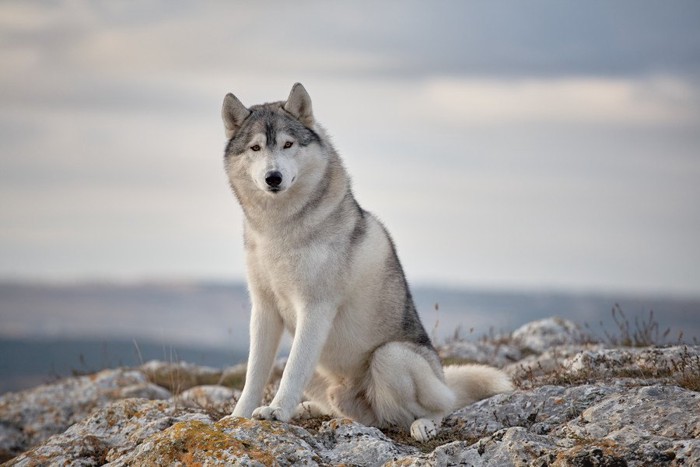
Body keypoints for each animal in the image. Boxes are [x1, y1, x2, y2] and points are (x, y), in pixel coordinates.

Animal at [224, 85, 516, 442]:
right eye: (255, 148)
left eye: (287, 144)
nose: (273, 178)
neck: (278, 230)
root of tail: (444, 379)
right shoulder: (265, 308)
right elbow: (254, 375)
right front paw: (238, 417)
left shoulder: (315, 308)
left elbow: (292, 371)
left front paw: (277, 412)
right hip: (327, 375)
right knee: (349, 412)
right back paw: (311, 409)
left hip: (390, 357)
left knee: (433, 409)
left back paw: (424, 425)